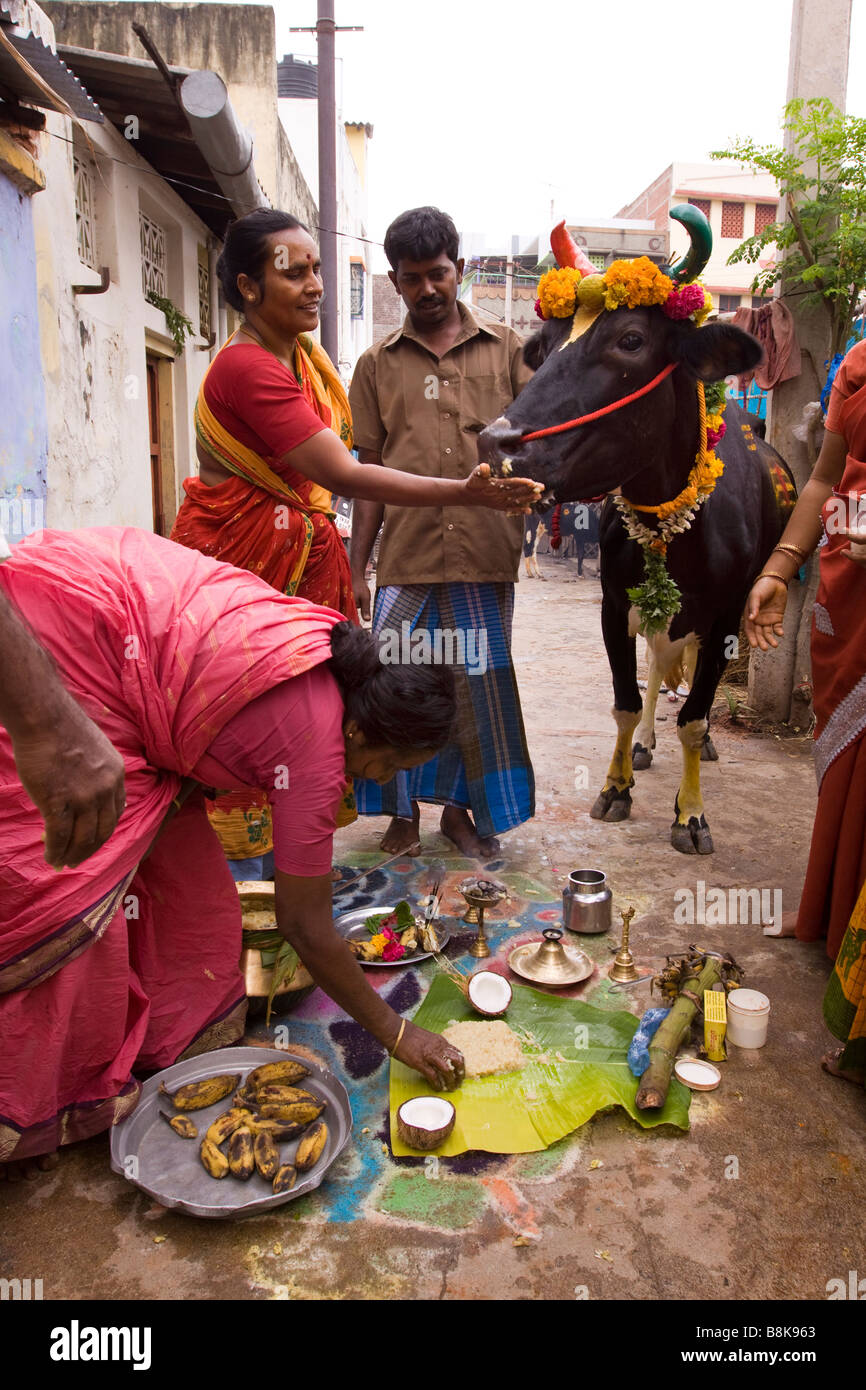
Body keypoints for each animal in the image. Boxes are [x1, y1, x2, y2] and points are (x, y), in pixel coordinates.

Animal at [483, 211, 795, 850]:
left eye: (630, 340)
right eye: (544, 347)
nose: (497, 443)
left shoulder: (726, 616)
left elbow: (695, 714)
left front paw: (691, 813)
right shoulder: (611, 602)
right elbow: (626, 700)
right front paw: (617, 785)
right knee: (656, 664)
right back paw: (649, 743)